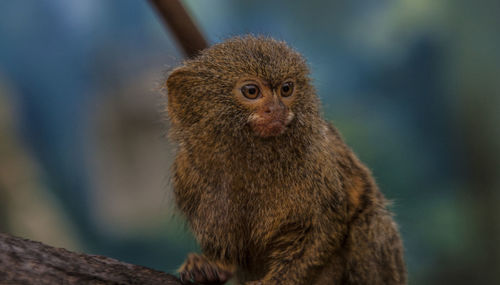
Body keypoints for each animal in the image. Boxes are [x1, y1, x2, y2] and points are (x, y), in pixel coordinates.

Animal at [166, 36, 408, 284]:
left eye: (286, 89)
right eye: (251, 91)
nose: (277, 109)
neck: (253, 158)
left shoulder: (317, 168)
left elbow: (320, 229)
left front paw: (274, 281)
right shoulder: (190, 175)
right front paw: (211, 266)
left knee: (369, 222)